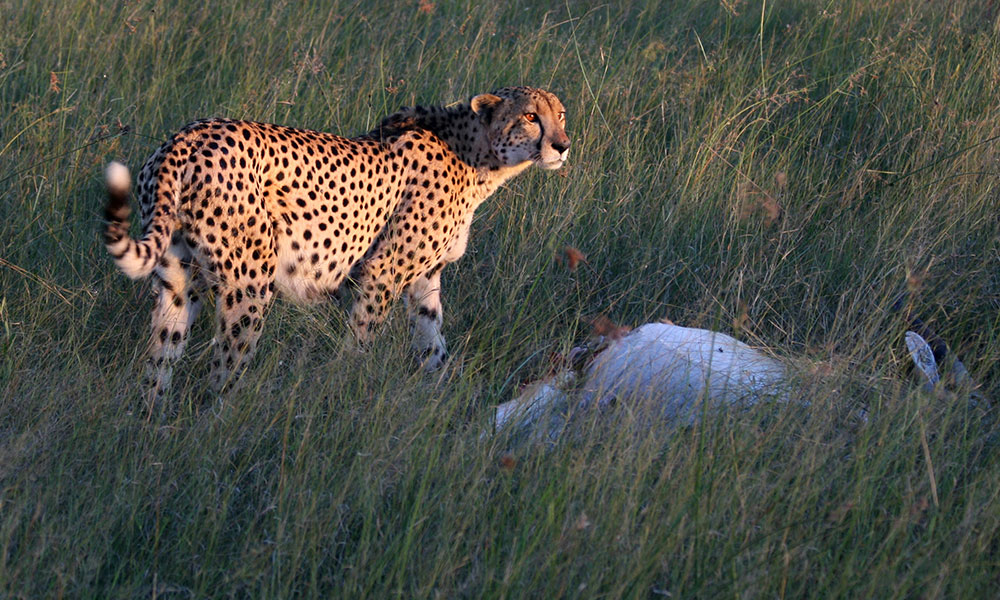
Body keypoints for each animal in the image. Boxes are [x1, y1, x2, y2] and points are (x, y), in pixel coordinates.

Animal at [103, 86, 570, 401]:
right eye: (531, 116)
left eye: (561, 115)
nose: (563, 145)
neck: (479, 157)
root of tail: (188, 135)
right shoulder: (382, 273)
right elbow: (360, 345)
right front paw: (343, 390)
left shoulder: (426, 279)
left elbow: (433, 343)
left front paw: (442, 396)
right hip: (250, 282)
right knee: (223, 371)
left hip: (178, 282)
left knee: (160, 361)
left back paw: (153, 430)